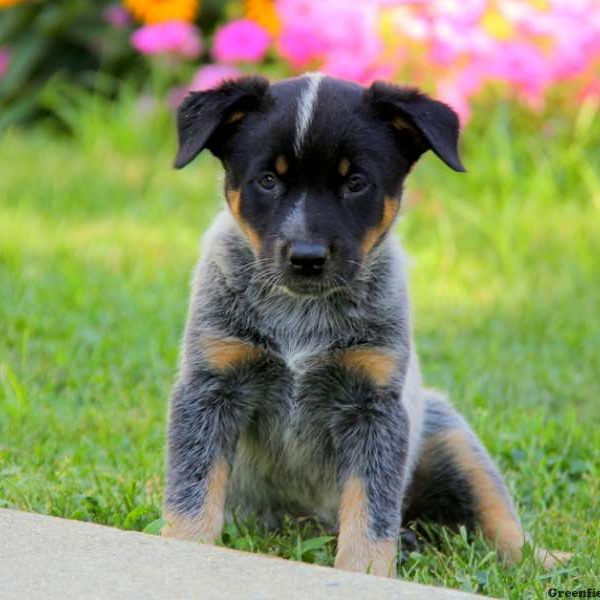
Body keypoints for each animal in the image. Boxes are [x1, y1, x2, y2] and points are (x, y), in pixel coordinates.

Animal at [161, 75, 568, 576]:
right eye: (268, 180)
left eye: (355, 183)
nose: (307, 257)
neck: (301, 316)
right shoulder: (211, 386)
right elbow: (193, 490)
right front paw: (186, 547)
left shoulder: (374, 406)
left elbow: (370, 512)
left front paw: (367, 572)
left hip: (452, 438)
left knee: (501, 523)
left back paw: (547, 559)